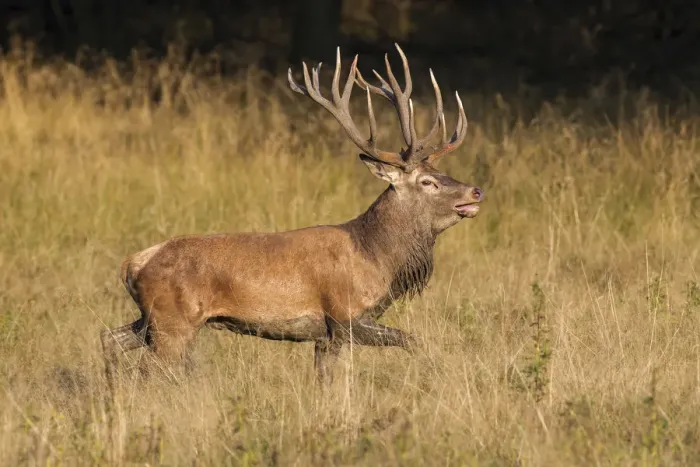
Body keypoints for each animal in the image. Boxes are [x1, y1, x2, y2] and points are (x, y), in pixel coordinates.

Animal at [100, 44, 483, 388]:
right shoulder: (344, 315)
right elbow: (412, 341)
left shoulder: (327, 335)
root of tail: (132, 264)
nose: (475, 191)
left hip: (151, 318)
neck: (376, 258)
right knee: (147, 370)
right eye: (428, 182)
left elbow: (328, 382)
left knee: (110, 338)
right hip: (173, 321)